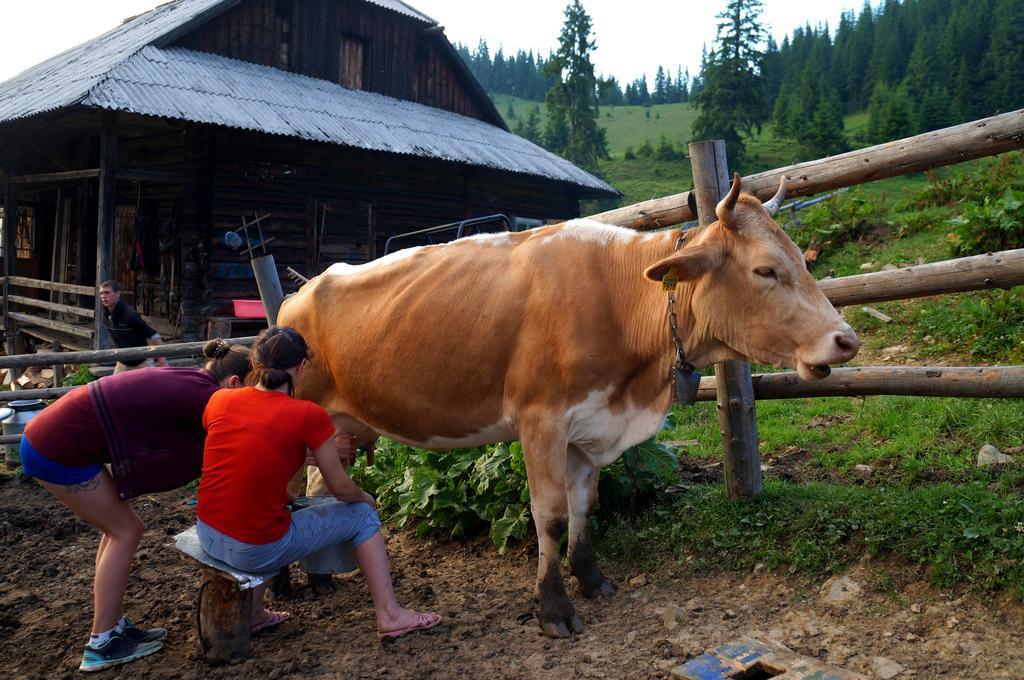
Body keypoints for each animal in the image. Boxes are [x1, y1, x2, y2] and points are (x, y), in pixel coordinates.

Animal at [278, 174, 856, 639]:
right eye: (765, 271)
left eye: (801, 259)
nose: (846, 340)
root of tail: (300, 291)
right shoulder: (541, 420)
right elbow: (551, 516)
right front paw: (553, 609)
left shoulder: (591, 424)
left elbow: (585, 506)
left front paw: (591, 578)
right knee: (286, 494)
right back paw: (284, 587)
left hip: (338, 424)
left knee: (319, 486)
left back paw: (323, 578)